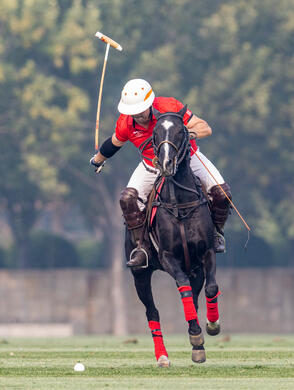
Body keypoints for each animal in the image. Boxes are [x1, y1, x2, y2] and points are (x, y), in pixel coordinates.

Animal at [120, 105, 219, 368]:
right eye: (155, 134)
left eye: (180, 130)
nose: (165, 163)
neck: (180, 204)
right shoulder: (168, 257)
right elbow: (183, 289)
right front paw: (196, 336)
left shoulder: (206, 253)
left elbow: (211, 288)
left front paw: (211, 327)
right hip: (140, 274)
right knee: (152, 312)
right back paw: (162, 356)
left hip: (195, 268)